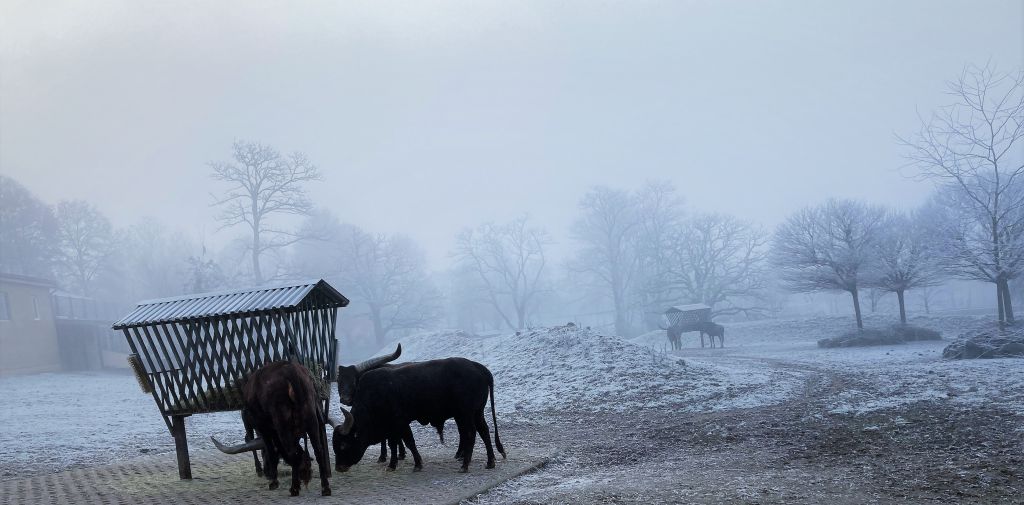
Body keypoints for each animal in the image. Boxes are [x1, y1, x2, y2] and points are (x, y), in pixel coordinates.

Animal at [210, 360, 331, 493]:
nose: (305, 471)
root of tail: (290, 371)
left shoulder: (263, 427)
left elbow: (269, 450)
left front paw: (273, 480)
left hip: (281, 420)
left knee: (291, 451)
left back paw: (293, 487)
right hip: (311, 416)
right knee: (318, 449)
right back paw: (325, 487)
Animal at [331, 356, 503, 471]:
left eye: (344, 444)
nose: (339, 467)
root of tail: (476, 367)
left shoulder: (400, 422)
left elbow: (409, 442)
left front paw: (417, 464)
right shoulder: (391, 428)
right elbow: (393, 444)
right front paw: (392, 464)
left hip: (465, 414)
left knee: (470, 433)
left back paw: (465, 464)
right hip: (476, 413)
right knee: (484, 431)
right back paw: (490, 462)